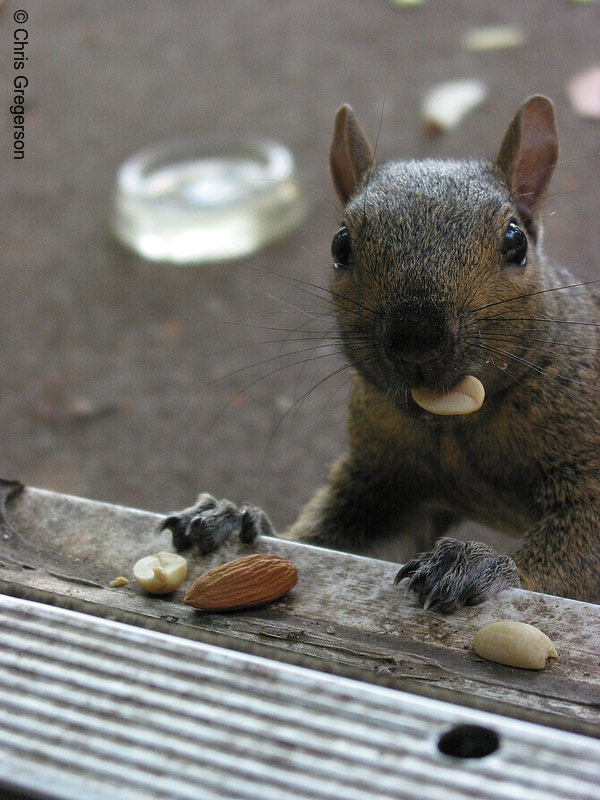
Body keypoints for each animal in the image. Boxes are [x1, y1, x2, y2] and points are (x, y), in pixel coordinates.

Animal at [162, 97, 600, 616]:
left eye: (516, 242)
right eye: (340, 244)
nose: (417, 339)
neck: (454, 427)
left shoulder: (586, 466)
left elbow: (576, 550)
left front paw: (476, 565)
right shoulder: (385, 480)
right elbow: (331, 538)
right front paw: (230, 517)